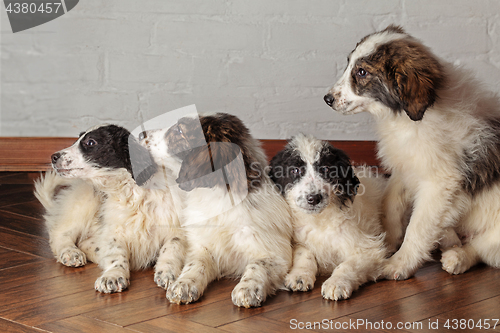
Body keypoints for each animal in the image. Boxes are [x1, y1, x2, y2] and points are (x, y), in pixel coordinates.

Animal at [35, 123, 186, 292]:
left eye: (90, 142)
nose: (53, 157)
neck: (133, 192)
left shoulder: (177, 229)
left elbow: (171, 249)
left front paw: (167, 273)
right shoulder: (114, 229)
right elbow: (116, 252)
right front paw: (113, 276)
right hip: (84, 203)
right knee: (60, 234)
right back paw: (70, 253)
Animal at [141, 113, 292, 308]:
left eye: (180, 130)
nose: (141, 134)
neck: (221, 197)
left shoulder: (275, 253)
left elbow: (258, 265)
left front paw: (248, 288)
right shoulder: (203, 246)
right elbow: (195, 264)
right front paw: (184, 284)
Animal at [270, 134, 386, 300]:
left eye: (325, 169)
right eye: (295, 170)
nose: (314, 198)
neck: (319, 220)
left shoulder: (369, 249)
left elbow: (347, 265)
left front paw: (337, 283)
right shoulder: (298, 240)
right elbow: (304, 253)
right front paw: (299, 276)